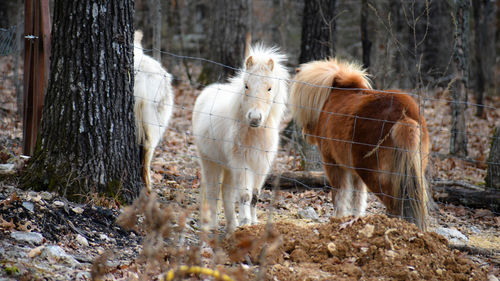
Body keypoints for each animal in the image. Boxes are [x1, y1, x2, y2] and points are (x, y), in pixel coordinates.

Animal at [193, 44, 292, 232]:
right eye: (246, 86)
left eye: (269, 88)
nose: (254, 118)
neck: (254, 134)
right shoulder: (242, 163)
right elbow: (245, 195)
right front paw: (245, 222)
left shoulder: (261, 165)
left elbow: (255, 195)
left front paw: (253, 222)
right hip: (210, 161)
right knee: (213, 191)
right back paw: (214, 226)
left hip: (228, 167)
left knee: (226, 192)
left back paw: (232, 225)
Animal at [290, 59, 430, 230]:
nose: (305, 134)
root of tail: (405, 117)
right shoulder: (354, 171)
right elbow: (358, 196)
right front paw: (355, 218)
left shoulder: (333, 163)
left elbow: (339, 194)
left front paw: (337, 219)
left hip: (375, 176)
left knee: (394, 205)